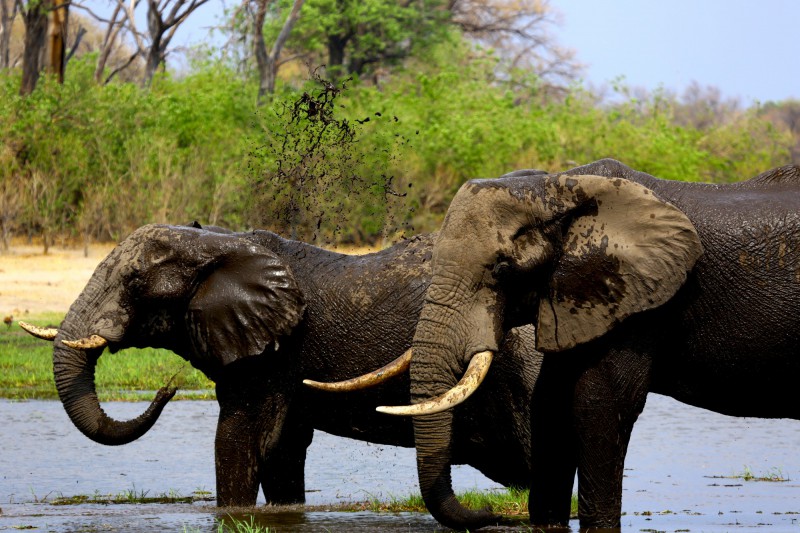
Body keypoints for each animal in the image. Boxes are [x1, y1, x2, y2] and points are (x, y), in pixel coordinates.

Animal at [23, 221, 536, 512]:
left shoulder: (270, 356)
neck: (221, 243)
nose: (168, 389)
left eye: (133, 281)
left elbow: (241, 439)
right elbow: (282, 450)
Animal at [362, 157, 800, 528]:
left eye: (501, 268)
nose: (489, 513)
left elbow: (599, 404)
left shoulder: (637, 301)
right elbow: (549, 404)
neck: (557, 188)